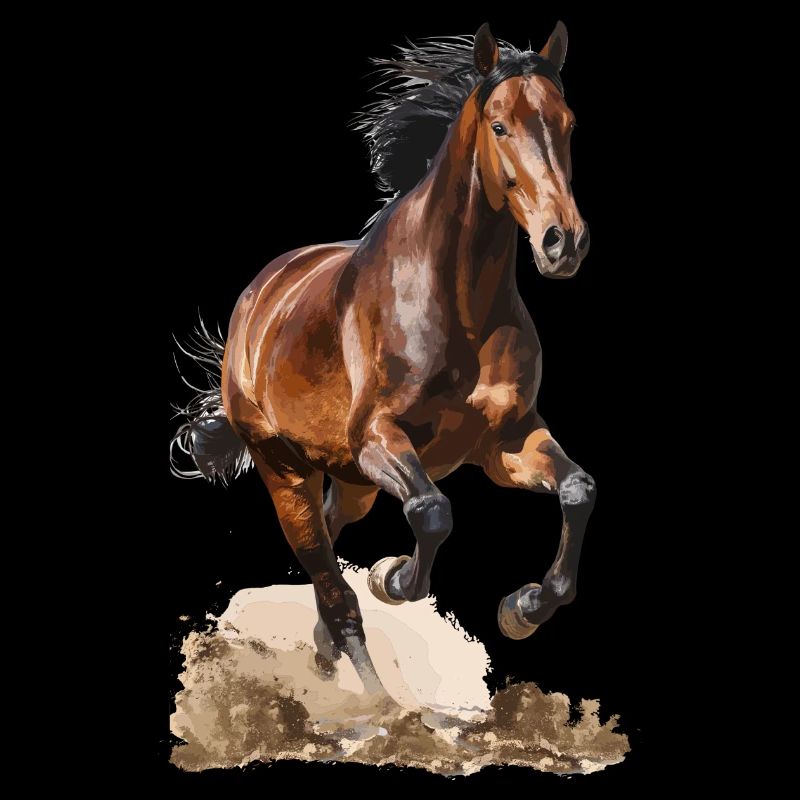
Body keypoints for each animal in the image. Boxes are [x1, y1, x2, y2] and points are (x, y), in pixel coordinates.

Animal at [171, 22, 595, 698]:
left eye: (568, 122)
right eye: (500, 125)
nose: (564, 242)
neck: (457, 305)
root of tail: (256, 301)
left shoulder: (506, 442)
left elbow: (579, 490)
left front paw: (523, 608)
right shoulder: (377, 437)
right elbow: (431, 511)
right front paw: (392, 577)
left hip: (352, 484)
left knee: (331, 553)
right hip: (286, 471)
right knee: (333, 589)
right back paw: (373, 703)